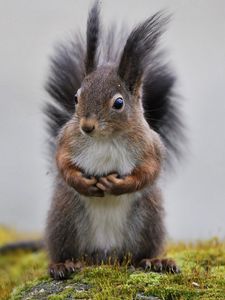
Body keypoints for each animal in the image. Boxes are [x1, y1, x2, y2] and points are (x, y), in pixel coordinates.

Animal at [0, 1, 185, 278]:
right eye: (76, 97)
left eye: (118, 103)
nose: (87, 126)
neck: (105, 138)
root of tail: (106, 256)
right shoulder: (67, 140)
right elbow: (62, 163)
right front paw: (82, 182)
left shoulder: (149, 146)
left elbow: (149, 171)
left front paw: (119, 185)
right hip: (64, 217)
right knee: (64, 251)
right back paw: (63, 265)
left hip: (149, 218)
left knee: (141, 254)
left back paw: (155, 261)